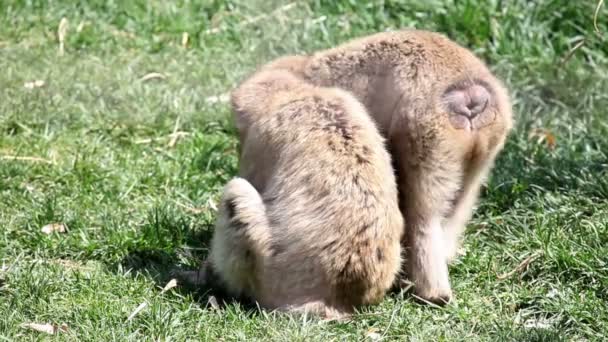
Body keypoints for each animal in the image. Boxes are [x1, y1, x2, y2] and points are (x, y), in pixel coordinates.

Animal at [203, 68, 404, 320]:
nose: (237, 145)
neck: (296, 94)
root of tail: (336, 301)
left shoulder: (260, 140)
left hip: (268, 275)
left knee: (236, 194)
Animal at [256, 28, 512, 304]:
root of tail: (469, 93)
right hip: (486, 139)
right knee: (460, 200)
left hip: (424, 132)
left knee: (423, 213)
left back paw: (431, 291)